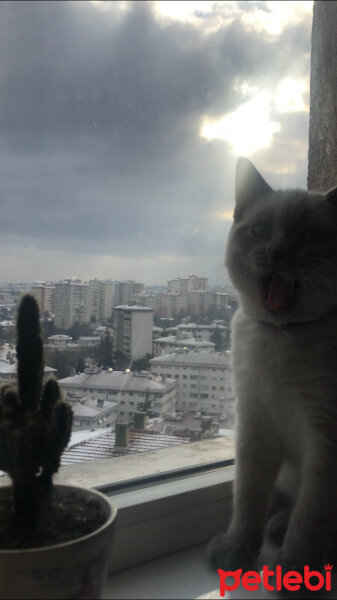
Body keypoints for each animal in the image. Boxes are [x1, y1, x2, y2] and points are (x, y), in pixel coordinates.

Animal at [207, 158, 337, 572]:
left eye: (307, 235)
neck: (282, 334)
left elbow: (311, 516)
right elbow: (248, 497)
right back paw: (277, 526)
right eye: (260, 231)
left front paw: (296, 569)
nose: (277, 251)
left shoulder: (325, 440)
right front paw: (238, 548)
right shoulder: (255, 423)